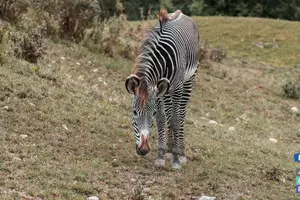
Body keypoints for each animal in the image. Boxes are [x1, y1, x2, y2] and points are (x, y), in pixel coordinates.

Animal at [125, 8, 200, 170]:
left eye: (151, 113)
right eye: (134, 112)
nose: (143, 149)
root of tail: (182, 13)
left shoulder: (176, 88)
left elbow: (175, 120)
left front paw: (176, 160)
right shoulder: (158, 92)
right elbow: (161, 119)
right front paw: (160, 156)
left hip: (188, 81)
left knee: (180, 114)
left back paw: (180, 152)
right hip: (166, 91)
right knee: (170, 112)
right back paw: (170, 149)